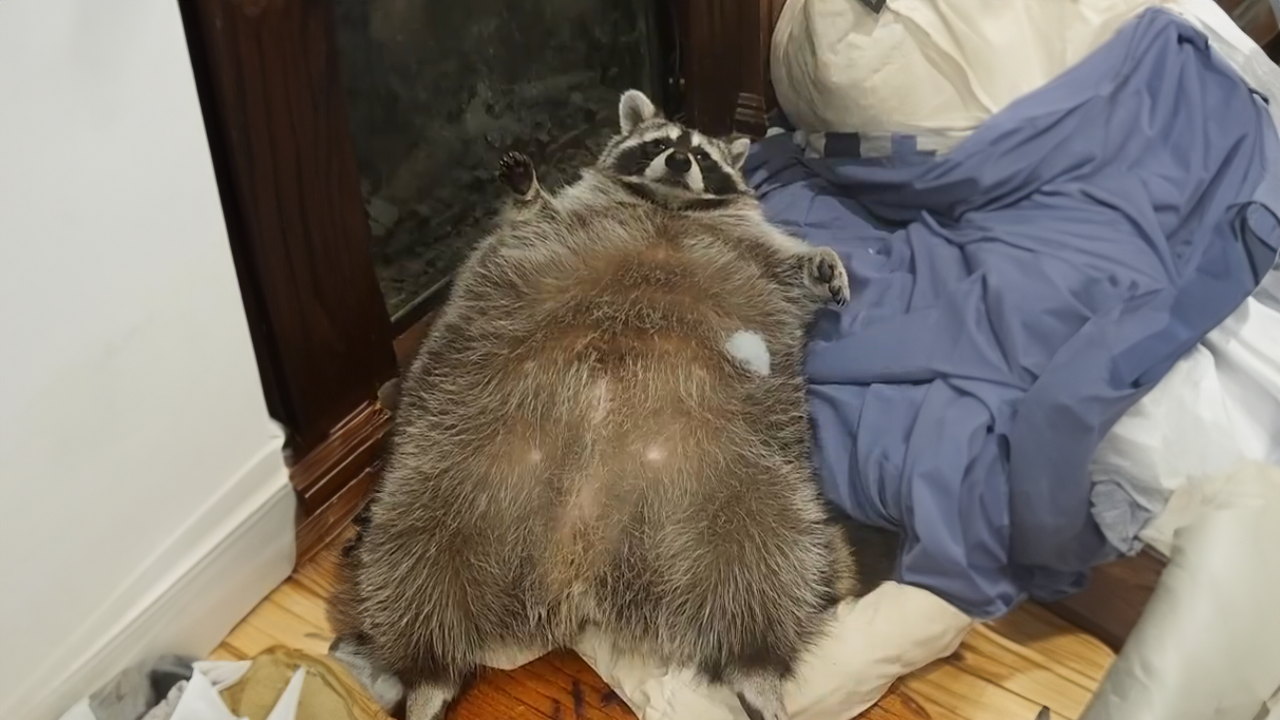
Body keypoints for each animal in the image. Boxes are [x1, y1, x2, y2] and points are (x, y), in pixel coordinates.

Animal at [328, 89, 856, 720]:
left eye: (702, 156)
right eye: (660, 143)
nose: (680, 161)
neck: (668, 207)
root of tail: (577, 565)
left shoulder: (754, 246)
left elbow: (789, 269)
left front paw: (822, 262)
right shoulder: (566, 217)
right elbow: (532, 217)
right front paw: (526, 189)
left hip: (746, 484)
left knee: (765, 561)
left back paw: (756, 663)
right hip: (447, 465)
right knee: (412, 555)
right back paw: (424, 668)